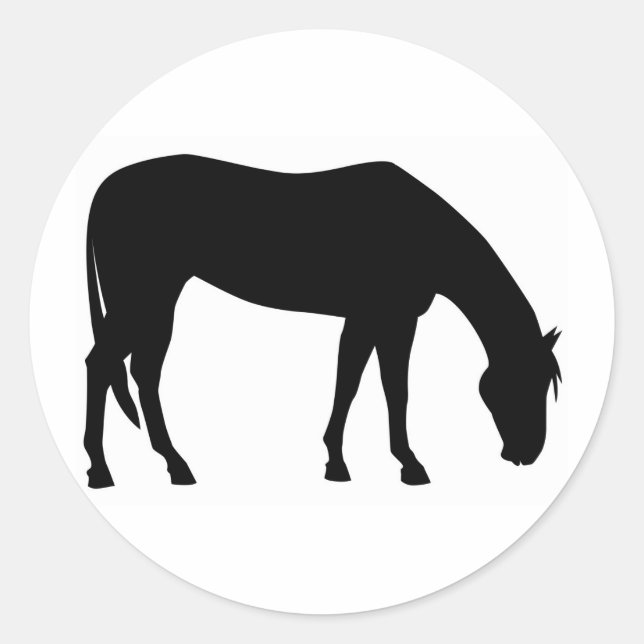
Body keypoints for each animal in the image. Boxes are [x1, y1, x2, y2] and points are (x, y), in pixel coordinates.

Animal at [83, 155, 561, 489]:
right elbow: (392, 390)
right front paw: (407, 464)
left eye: (546, 385)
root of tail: (105, 189)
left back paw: (174, 465)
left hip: (156, 301)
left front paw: (340, 461)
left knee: (141, 372)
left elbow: (352, 382)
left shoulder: (370, 319)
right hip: (143, 299)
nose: (528, 453)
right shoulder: (393, 319)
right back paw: (102, 470)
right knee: (102, 364)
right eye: (518, 383)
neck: (420, 232)